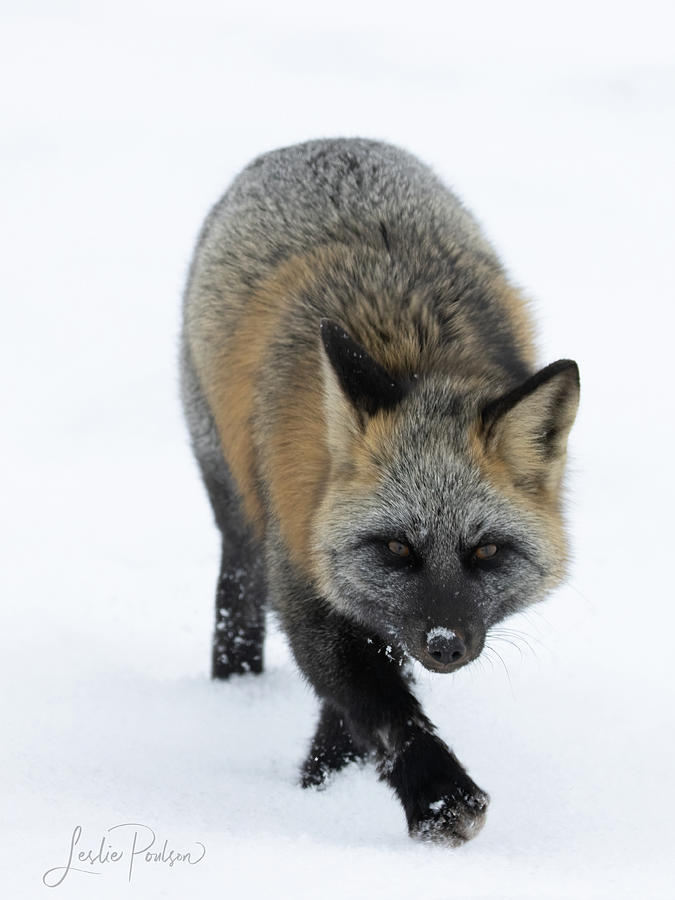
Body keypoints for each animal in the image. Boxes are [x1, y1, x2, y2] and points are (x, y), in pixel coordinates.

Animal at [181, 137, 580, 848]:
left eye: (485, 552)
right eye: (397, 547)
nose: (445, 644)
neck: (416, 352)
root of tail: (322, 142)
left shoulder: (379, 608)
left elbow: (362, 702)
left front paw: (325, 784)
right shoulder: (306, 573)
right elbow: (379, 706)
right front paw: (438, 796)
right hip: (237, 505)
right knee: (237, 594)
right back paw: (235, 694)